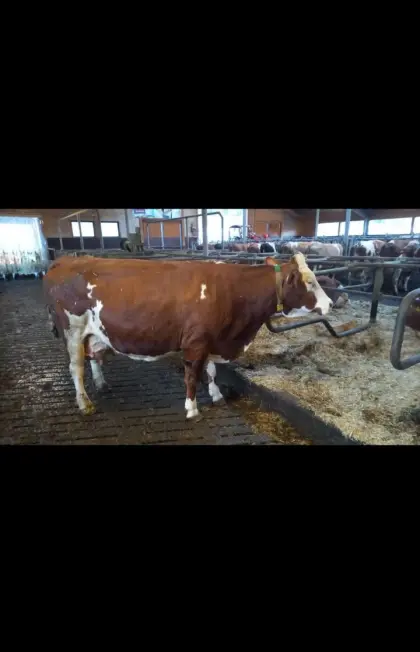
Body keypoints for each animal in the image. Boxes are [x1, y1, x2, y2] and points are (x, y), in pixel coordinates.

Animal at [44, 253, 333, 419]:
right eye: (310, 282)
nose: (330, 304)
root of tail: (65, 259)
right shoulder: (196, 342)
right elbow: (192, 375)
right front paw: (192, 409)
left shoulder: (214, 338)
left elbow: (212, 371)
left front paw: (216, 395)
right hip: (72, 329)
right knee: (76, 367)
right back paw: (84, 403)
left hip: (92, 331)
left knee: (93, 356)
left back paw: (102, 383)